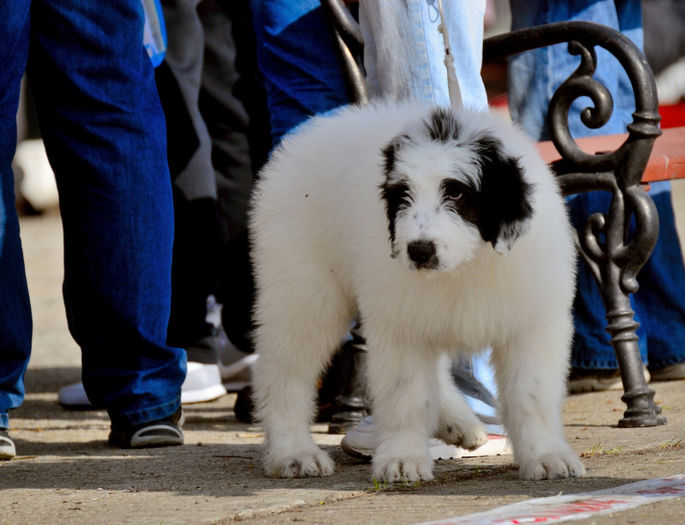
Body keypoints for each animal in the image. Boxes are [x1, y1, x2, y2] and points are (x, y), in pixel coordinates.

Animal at [248, 100, 584, 482]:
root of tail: (309, 132)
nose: (420, 251)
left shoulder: (532, 323)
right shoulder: (400, 324)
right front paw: (403, 458)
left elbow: (532, 395)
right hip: (303, 290)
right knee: (283, 370)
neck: (466, 264)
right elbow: (406, 395)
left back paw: (458, 421)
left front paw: (546, 455)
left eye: (456, 192)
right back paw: (293, 452)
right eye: (402, 194)